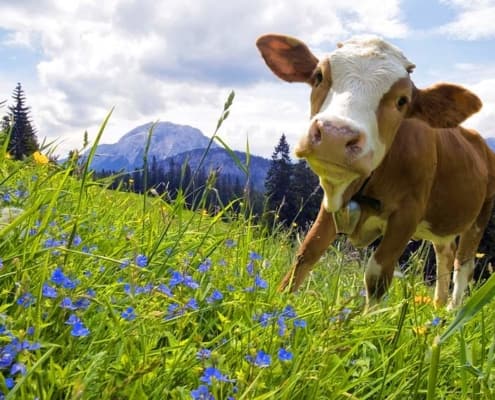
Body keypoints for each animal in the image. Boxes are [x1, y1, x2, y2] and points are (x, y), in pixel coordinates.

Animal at [256, 33, 495, 310]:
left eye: (402, 101)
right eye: (318, 76)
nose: (336, 134)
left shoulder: (407, 214)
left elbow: (377, 276)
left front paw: (363, 320)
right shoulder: (332, 203)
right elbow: (305, 255)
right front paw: (278, 303)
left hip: (480, 217)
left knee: (463, 265)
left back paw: (451, 312)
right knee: (444, 253)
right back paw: (437, 306)